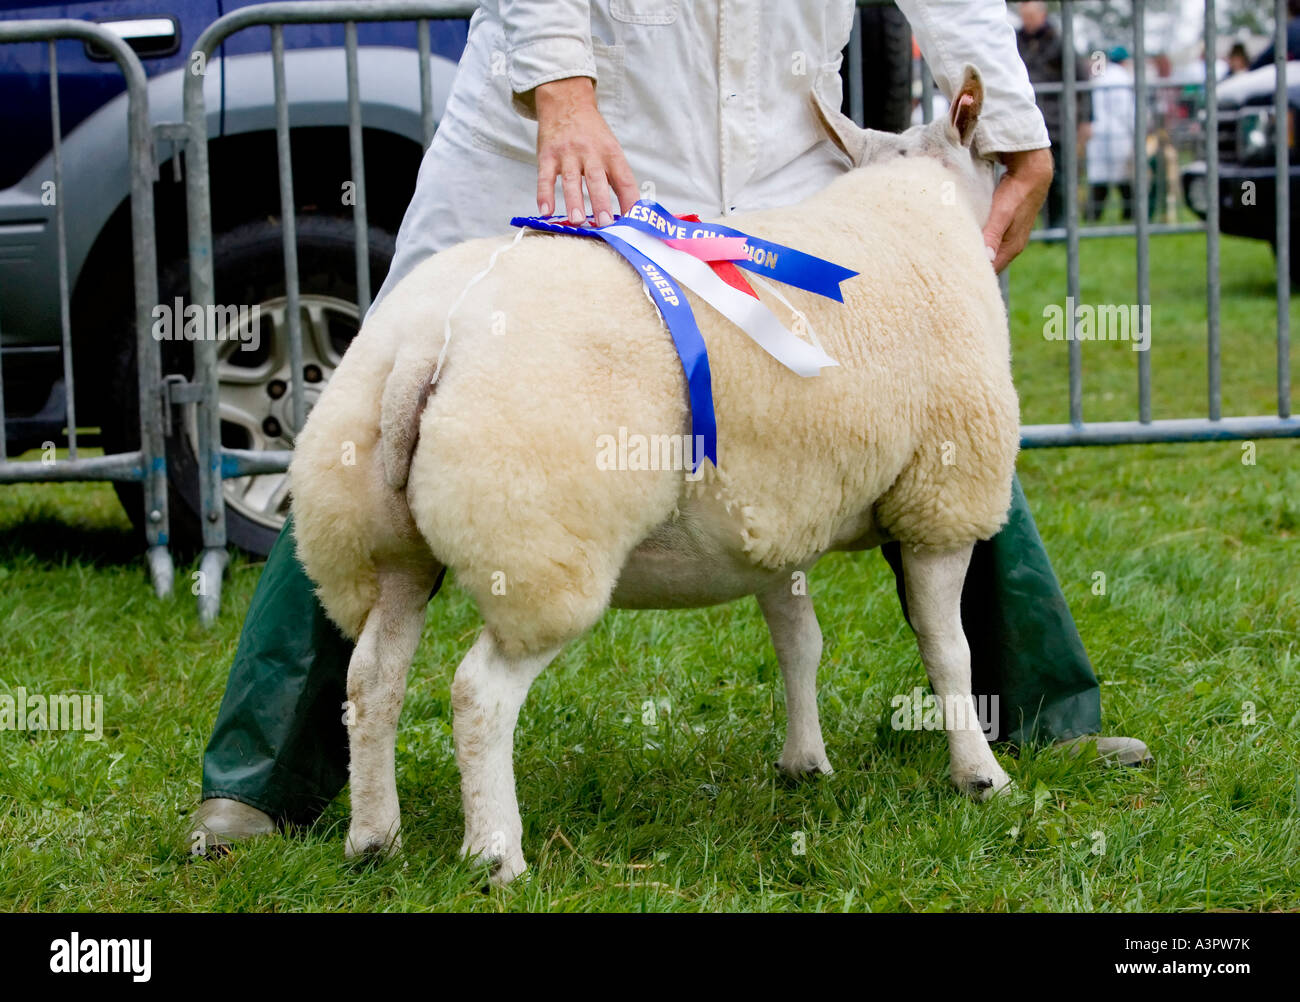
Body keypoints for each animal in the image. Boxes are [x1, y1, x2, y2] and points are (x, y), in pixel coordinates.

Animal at [292, 64, 1013, 883]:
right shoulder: (943, 498)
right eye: (994, 158)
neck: (917, 202)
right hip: (537, 545)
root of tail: (425, 343)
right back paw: (496, 853)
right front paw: (979, 775)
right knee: (479, 693)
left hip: (382, 540)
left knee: (372, 678)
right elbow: (948, 649)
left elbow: (799, 643)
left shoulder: (780, 513)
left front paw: (804, 764)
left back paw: (373, 838)